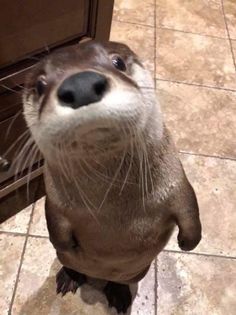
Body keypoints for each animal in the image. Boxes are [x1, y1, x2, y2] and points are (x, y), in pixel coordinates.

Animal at [23, 41, 202, 314]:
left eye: (118, 62)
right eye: (40, 85)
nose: (81, 85)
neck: (113, 204)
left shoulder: (176, 181)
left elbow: (189, 207)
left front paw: (188, 242)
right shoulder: (54, 198)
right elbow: (55, 227)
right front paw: (65, 244)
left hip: (137, 271)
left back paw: (118, 294)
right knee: (70, 264)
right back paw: (70, 277)